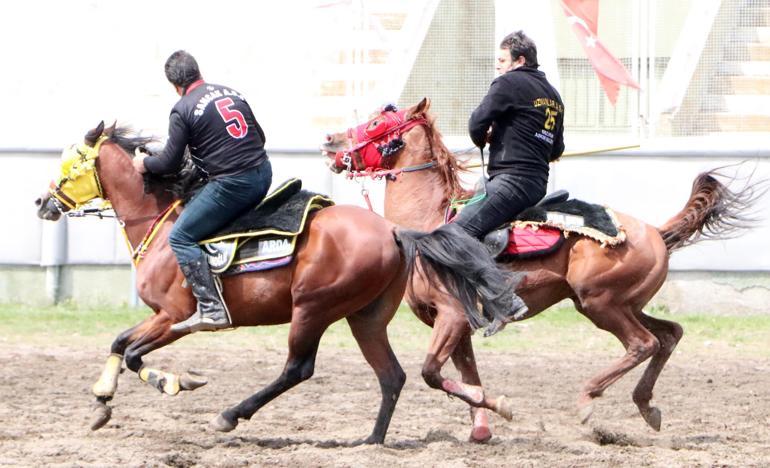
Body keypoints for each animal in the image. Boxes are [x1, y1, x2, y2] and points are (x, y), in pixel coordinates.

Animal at [34, 119, 516, 442]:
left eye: (71, 167)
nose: (42, 202)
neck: (163, 223)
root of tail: (394, 231)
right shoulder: (160, 317)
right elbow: (119, 342)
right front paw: (102, 399)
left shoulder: (175, 316)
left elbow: (134, 354)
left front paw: (176, 382)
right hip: (365, 318)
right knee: (392, 376)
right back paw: (378, 438)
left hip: (312, 309)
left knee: (298, 369)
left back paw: (231, 415)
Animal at [320, 98, 760, 442]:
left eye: (375, 124)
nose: (328, 140)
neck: (428, 222)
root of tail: (654, 231)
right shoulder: (456, 324)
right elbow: (467, 374)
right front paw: (482, 426)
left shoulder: (452, 316)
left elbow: (432, 372)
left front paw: (499, 406)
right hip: (621, 303)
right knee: (669, 335)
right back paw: (646, 407)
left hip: (601, 303)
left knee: (643, 343)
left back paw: (586, 401)